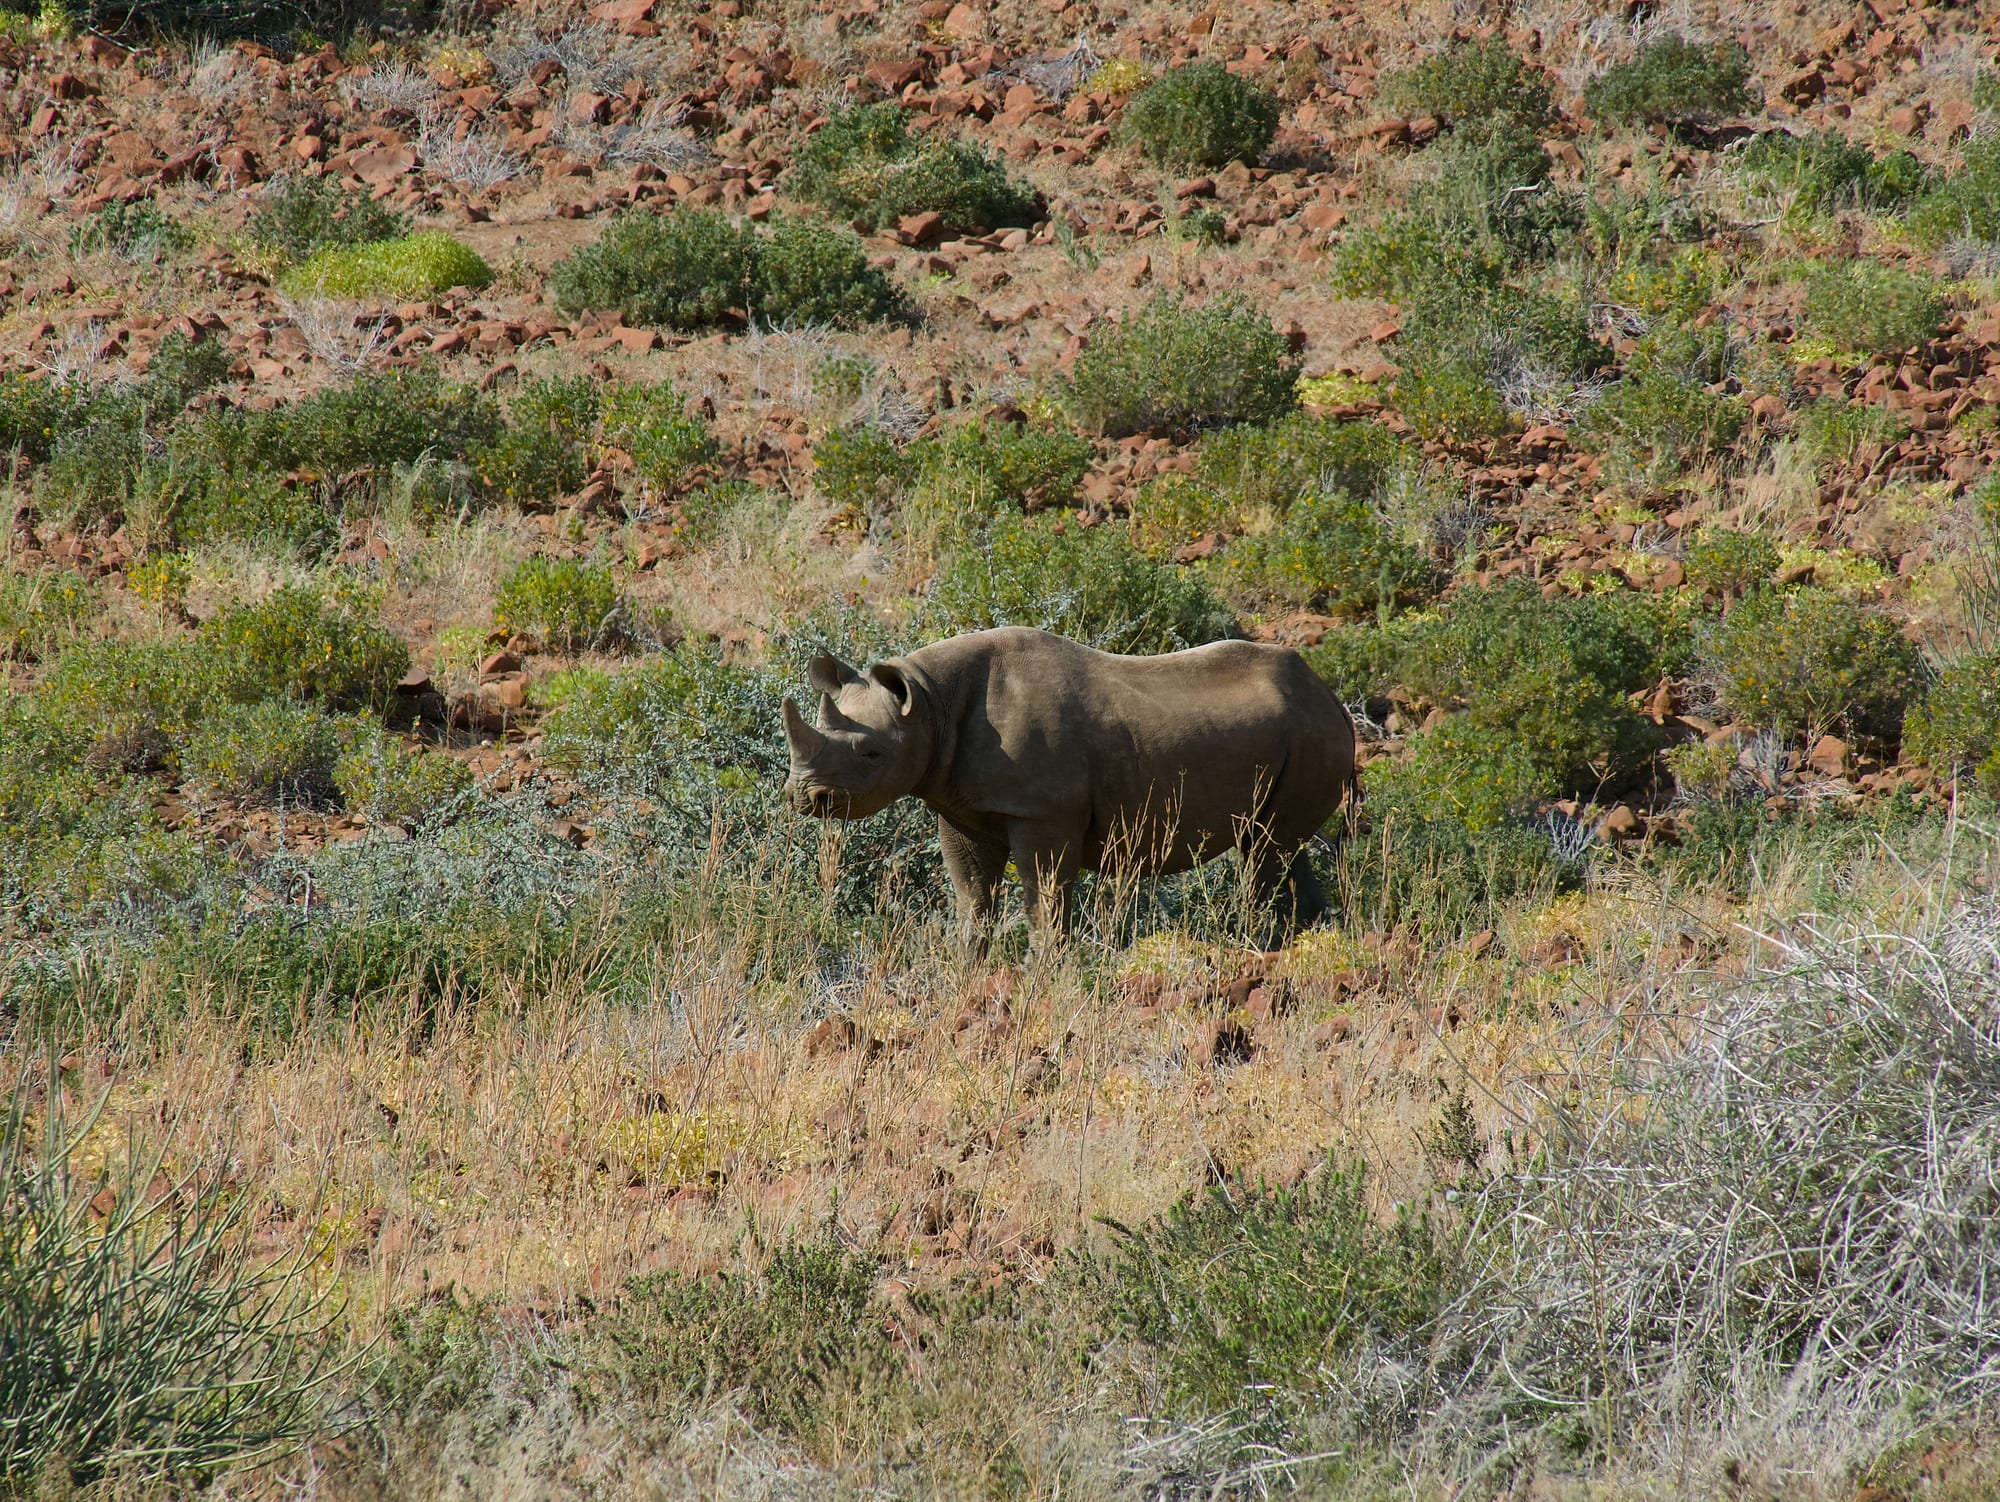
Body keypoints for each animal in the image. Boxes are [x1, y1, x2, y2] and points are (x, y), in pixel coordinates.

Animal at [781, 627, 1357, 947]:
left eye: (871, 754)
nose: (805, 797)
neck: (928, 701)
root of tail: (1335, 700)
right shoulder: (958, 806)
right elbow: (973, 900)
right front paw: (968, 971)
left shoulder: (1043, 810)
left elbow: (1044, 898)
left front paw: (1044, 976)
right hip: (1303, 733)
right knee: (1279, 846)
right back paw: (1309, 941)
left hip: (1312, 734)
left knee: (1267, 850)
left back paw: (1266, 945)